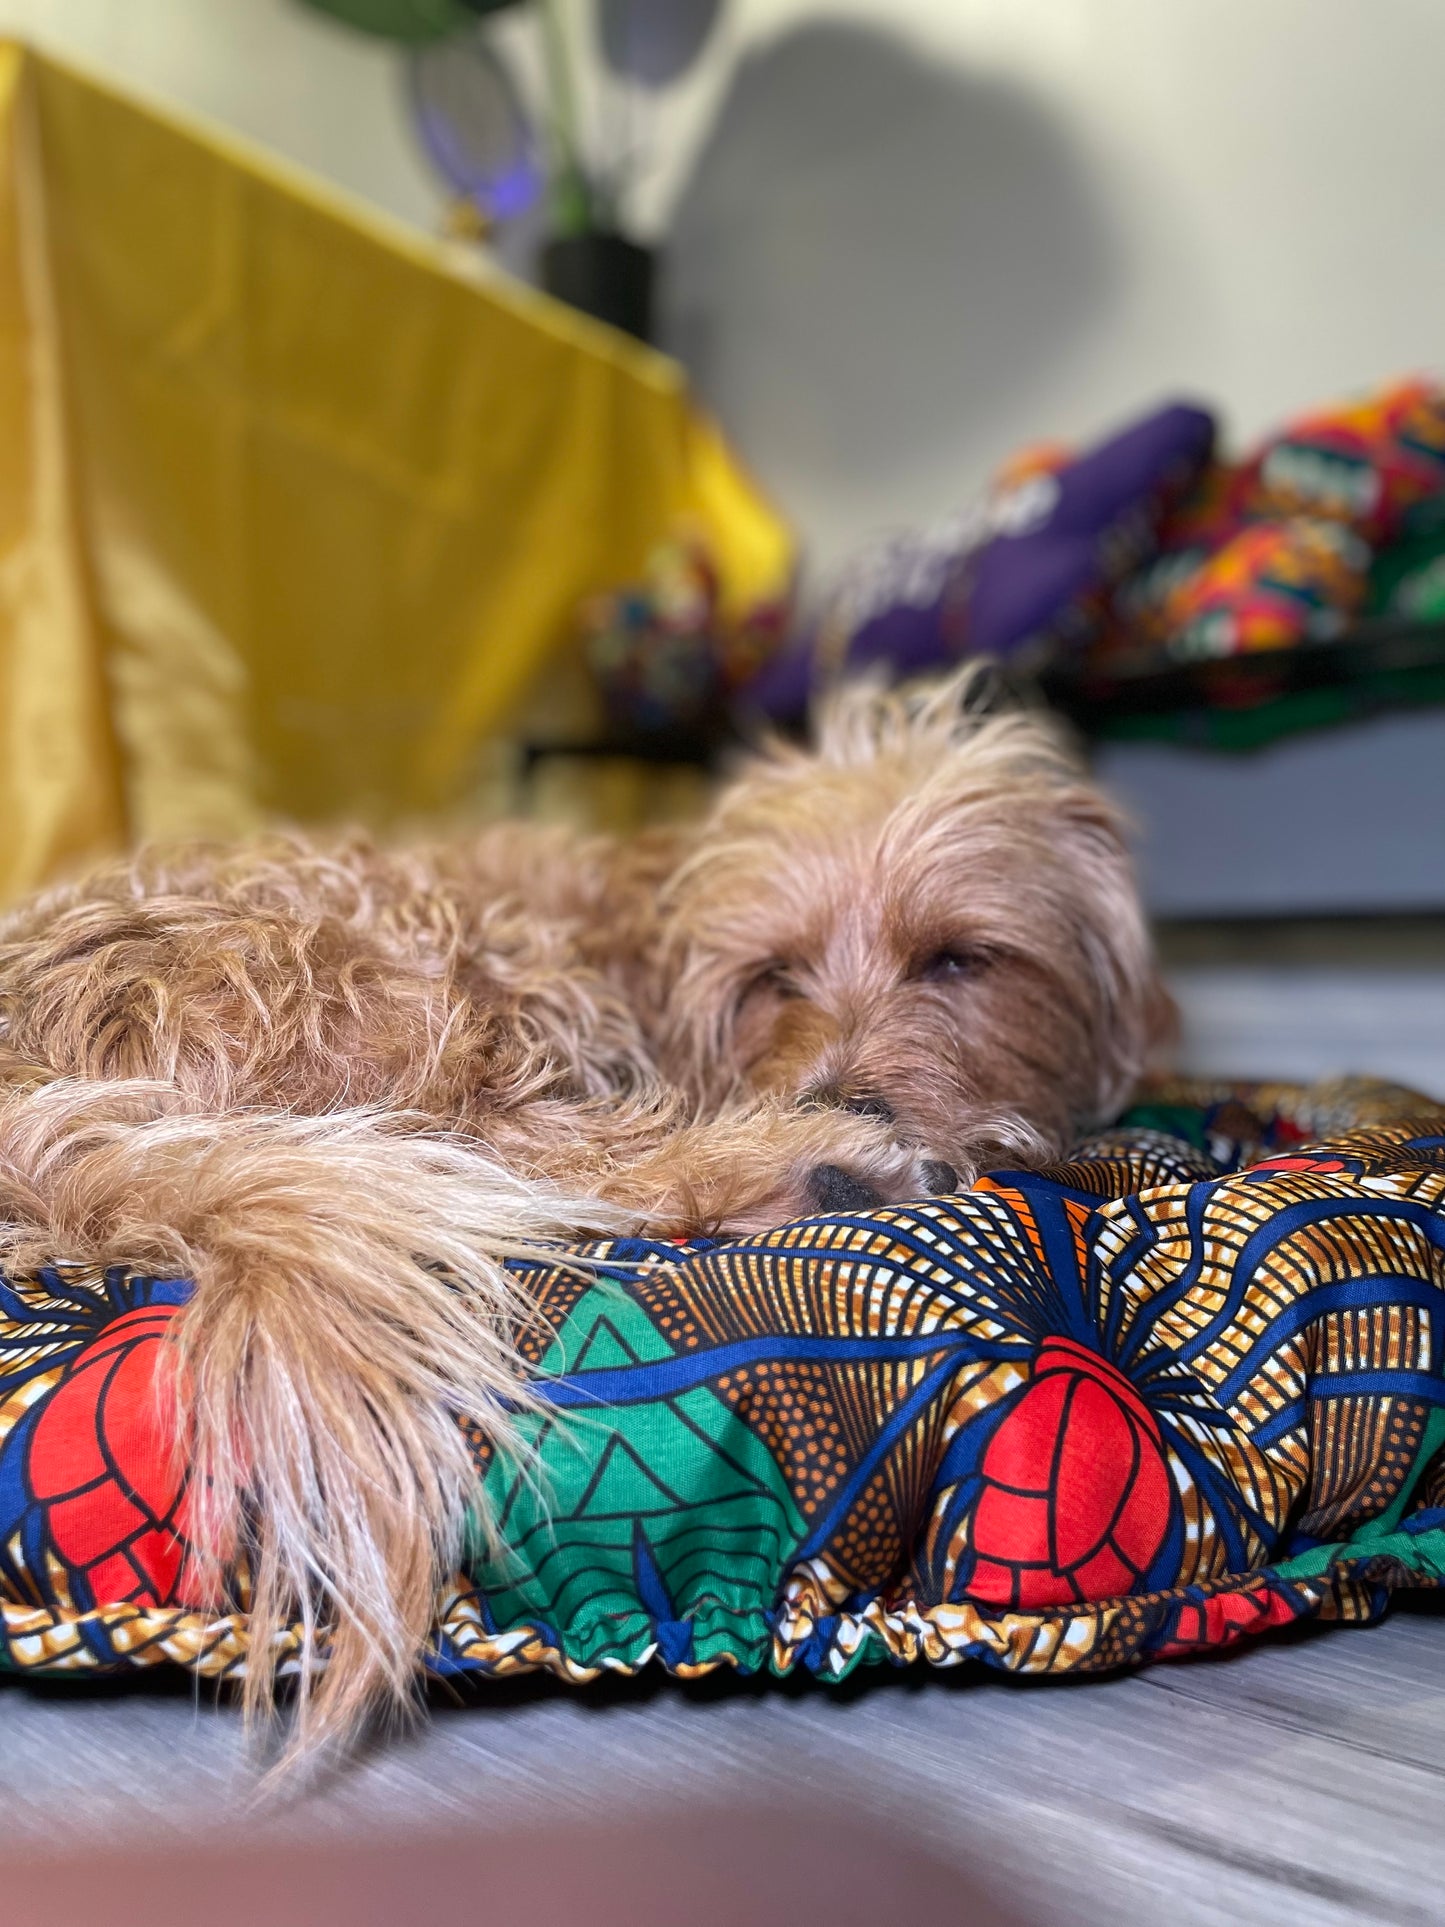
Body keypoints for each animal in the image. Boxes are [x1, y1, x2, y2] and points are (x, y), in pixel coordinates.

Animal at [0, 674, 1163, 1765]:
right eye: (772, 976)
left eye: (959, 959)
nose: (845, 1099)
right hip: (392, 983)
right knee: (510, 1154)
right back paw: (807, 1170)